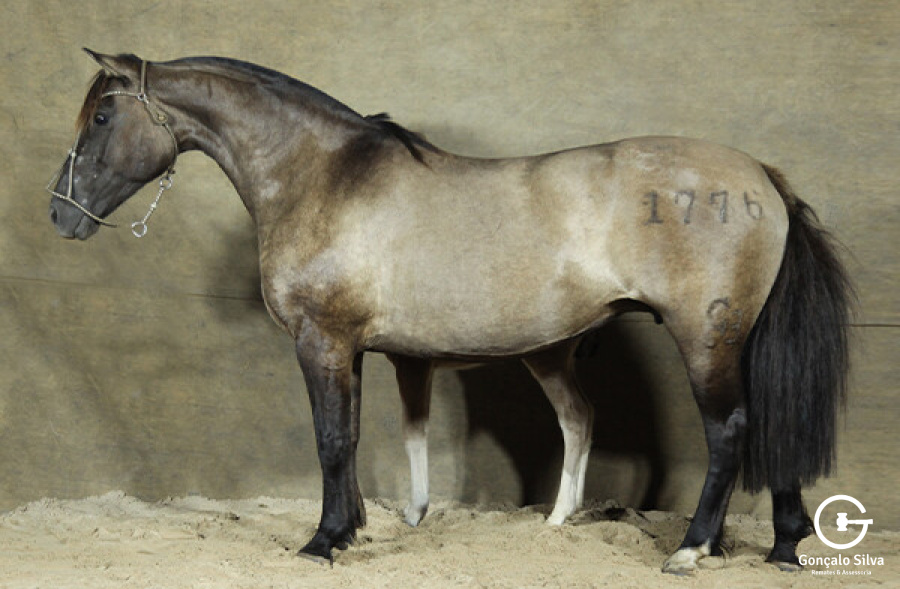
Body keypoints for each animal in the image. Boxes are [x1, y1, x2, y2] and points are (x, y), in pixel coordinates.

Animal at [47, 50, 854, 573]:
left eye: (104, 115)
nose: (60, 214)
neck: (323, 177)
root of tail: (760, 178)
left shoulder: (321, 342)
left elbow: (330, 441)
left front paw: (322, 540)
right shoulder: (357, 351)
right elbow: (352, 436)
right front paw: (355, 529)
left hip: (706, 338)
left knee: (731, 431)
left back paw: (691, 547)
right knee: (762, 423)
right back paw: (780, 545)